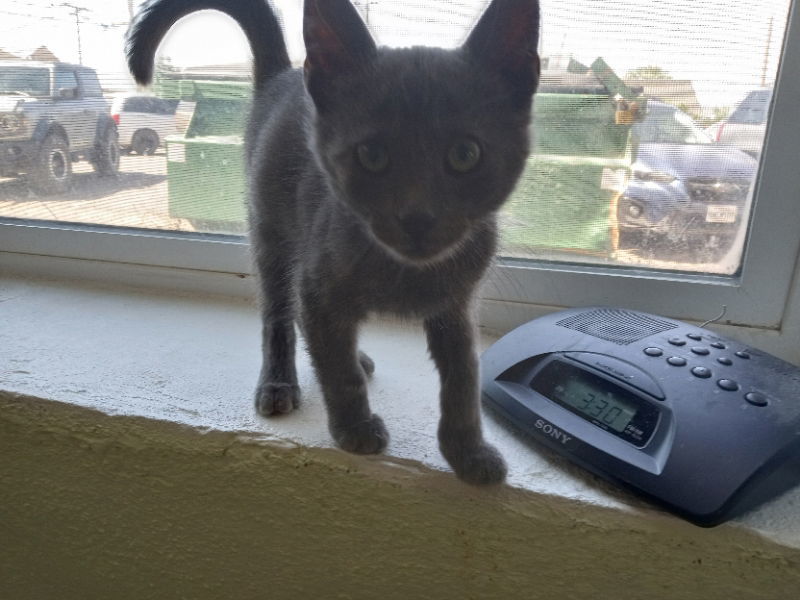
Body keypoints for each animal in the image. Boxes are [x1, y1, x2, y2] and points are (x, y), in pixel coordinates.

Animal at [128, 0, 540, 482]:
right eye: (372, 155)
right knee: (279, 313)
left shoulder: (457, 305)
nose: (417, 217)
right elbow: (338, 371)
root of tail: (283, 75)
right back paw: (279, 382)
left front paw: (468, 451)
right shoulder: (318, 280)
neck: (403, 272)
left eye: (465, 154)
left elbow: (463, 377)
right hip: (271, 232)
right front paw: (355, 429)